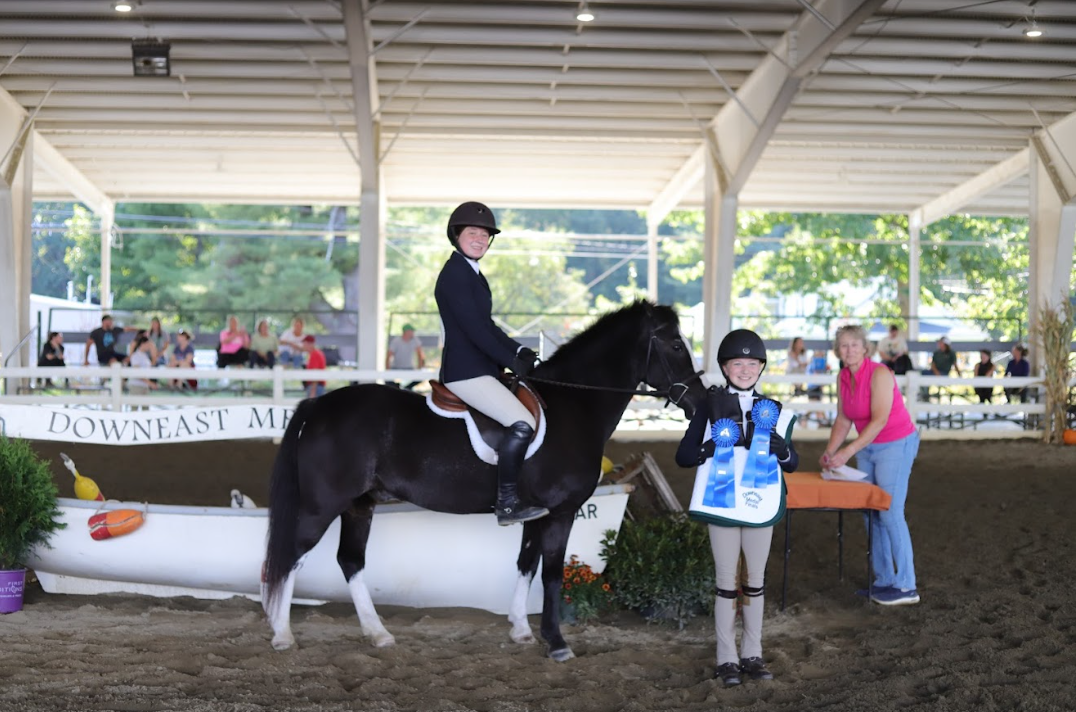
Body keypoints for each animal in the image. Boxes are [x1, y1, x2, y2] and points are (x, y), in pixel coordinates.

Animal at [262, 300, 707, 661]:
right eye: (676, 345)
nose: (698, 399)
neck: (574, 404)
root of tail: (319, 404)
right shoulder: (561, 512)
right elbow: (551, 574)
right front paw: (556, 642)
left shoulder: (536, 513)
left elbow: (526, 564)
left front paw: (521, 630)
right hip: (321, 505)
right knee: (289, 557)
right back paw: (283, 636)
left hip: (360, 505)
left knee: (350, 561)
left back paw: (378, 634)